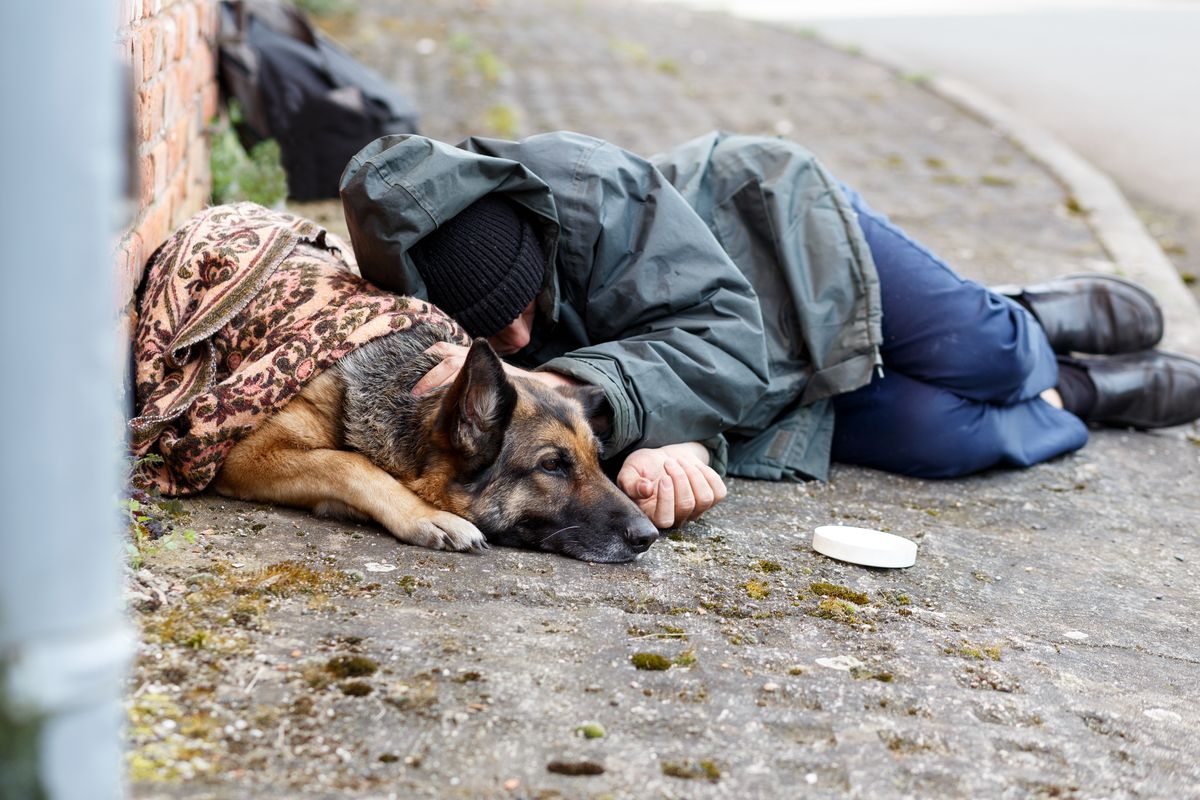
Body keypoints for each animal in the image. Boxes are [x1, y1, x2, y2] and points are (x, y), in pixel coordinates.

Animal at [218, 323, 667, 563]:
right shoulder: (244, 455)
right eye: (552, 465)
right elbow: (346, 462)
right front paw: (426, 516)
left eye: (598, 461)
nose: (648, 536)